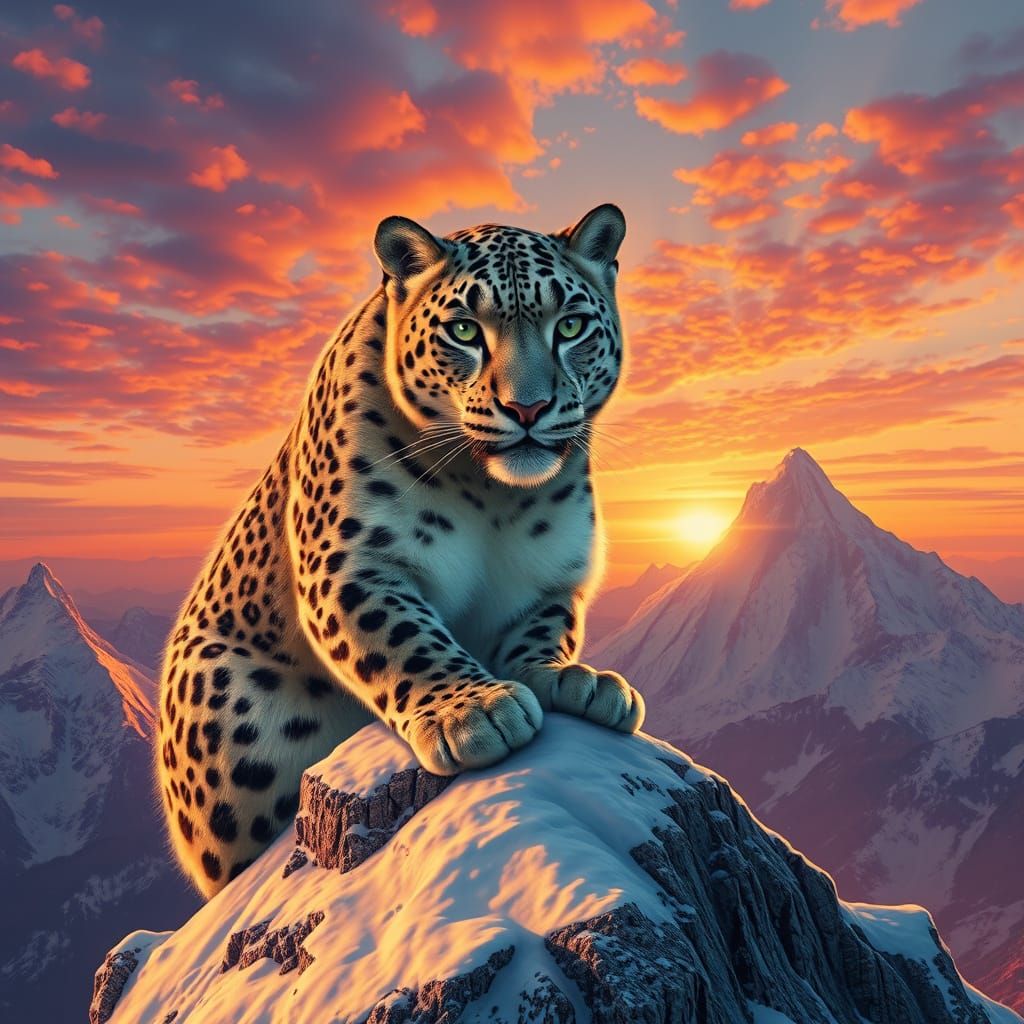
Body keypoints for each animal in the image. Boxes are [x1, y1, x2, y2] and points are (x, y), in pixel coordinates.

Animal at [156, 203, 644, 897]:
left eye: (571, 326)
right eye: (465, 331)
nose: (528, 408)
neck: (493, 494)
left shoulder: (548, 579)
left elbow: (541, 634)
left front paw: (572, 680)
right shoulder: (351, 562)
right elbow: (403, 635)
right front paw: (475, 713)